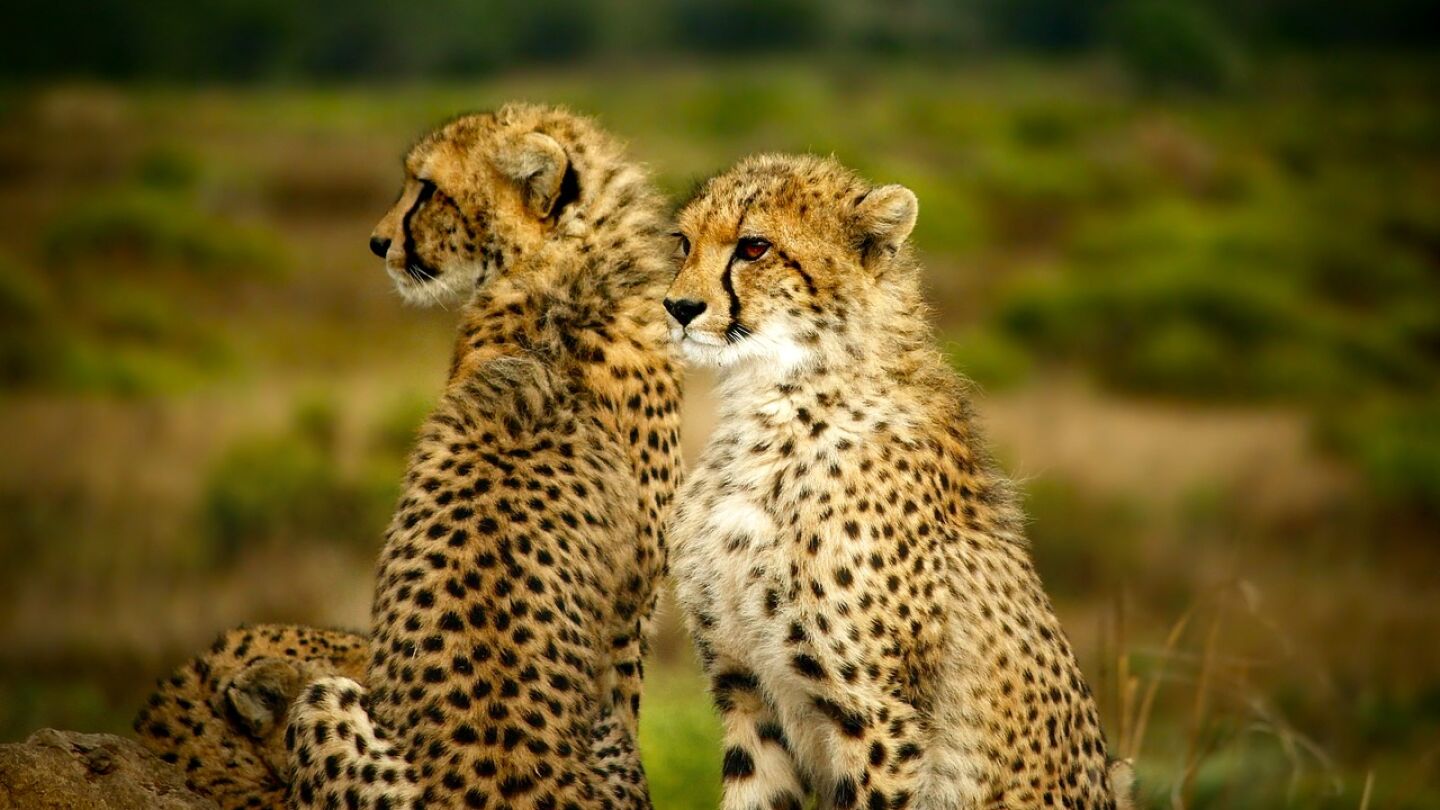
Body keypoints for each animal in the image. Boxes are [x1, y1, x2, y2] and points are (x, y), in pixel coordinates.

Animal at [662, 153, 1133, 810]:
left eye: (754, 247)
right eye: (683, 243)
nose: (677, 307)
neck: (772, 403)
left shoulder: (879, 719)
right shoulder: (745, 690)